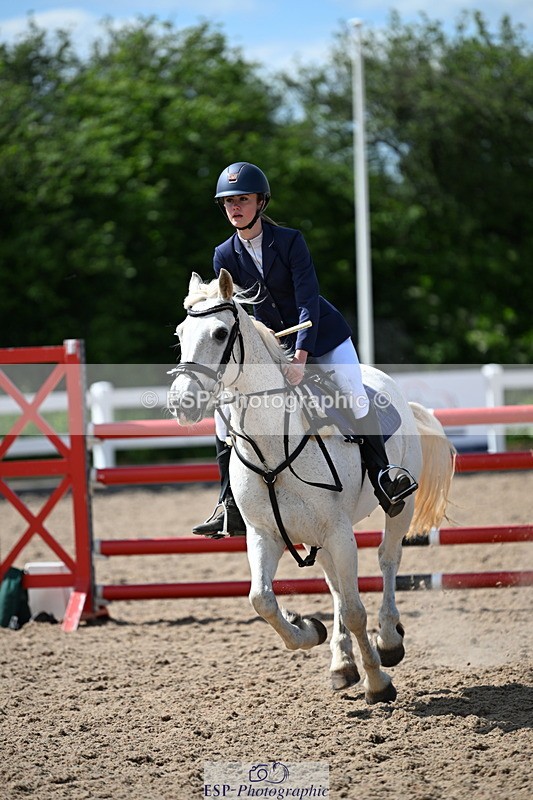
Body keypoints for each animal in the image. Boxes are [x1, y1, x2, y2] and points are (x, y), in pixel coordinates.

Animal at [169, 269, 455, 704]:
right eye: (181, 333)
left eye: (220, 333)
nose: (181, 404)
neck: (273, 448)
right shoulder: (264, 535)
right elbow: (262, 600)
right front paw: (308, 630)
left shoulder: (338, 531)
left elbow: (355, 609)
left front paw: (378, 682)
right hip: (317, 537)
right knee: (335, 585)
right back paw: (342, 664)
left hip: (396, 509)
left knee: (387, 560)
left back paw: (389, 640)